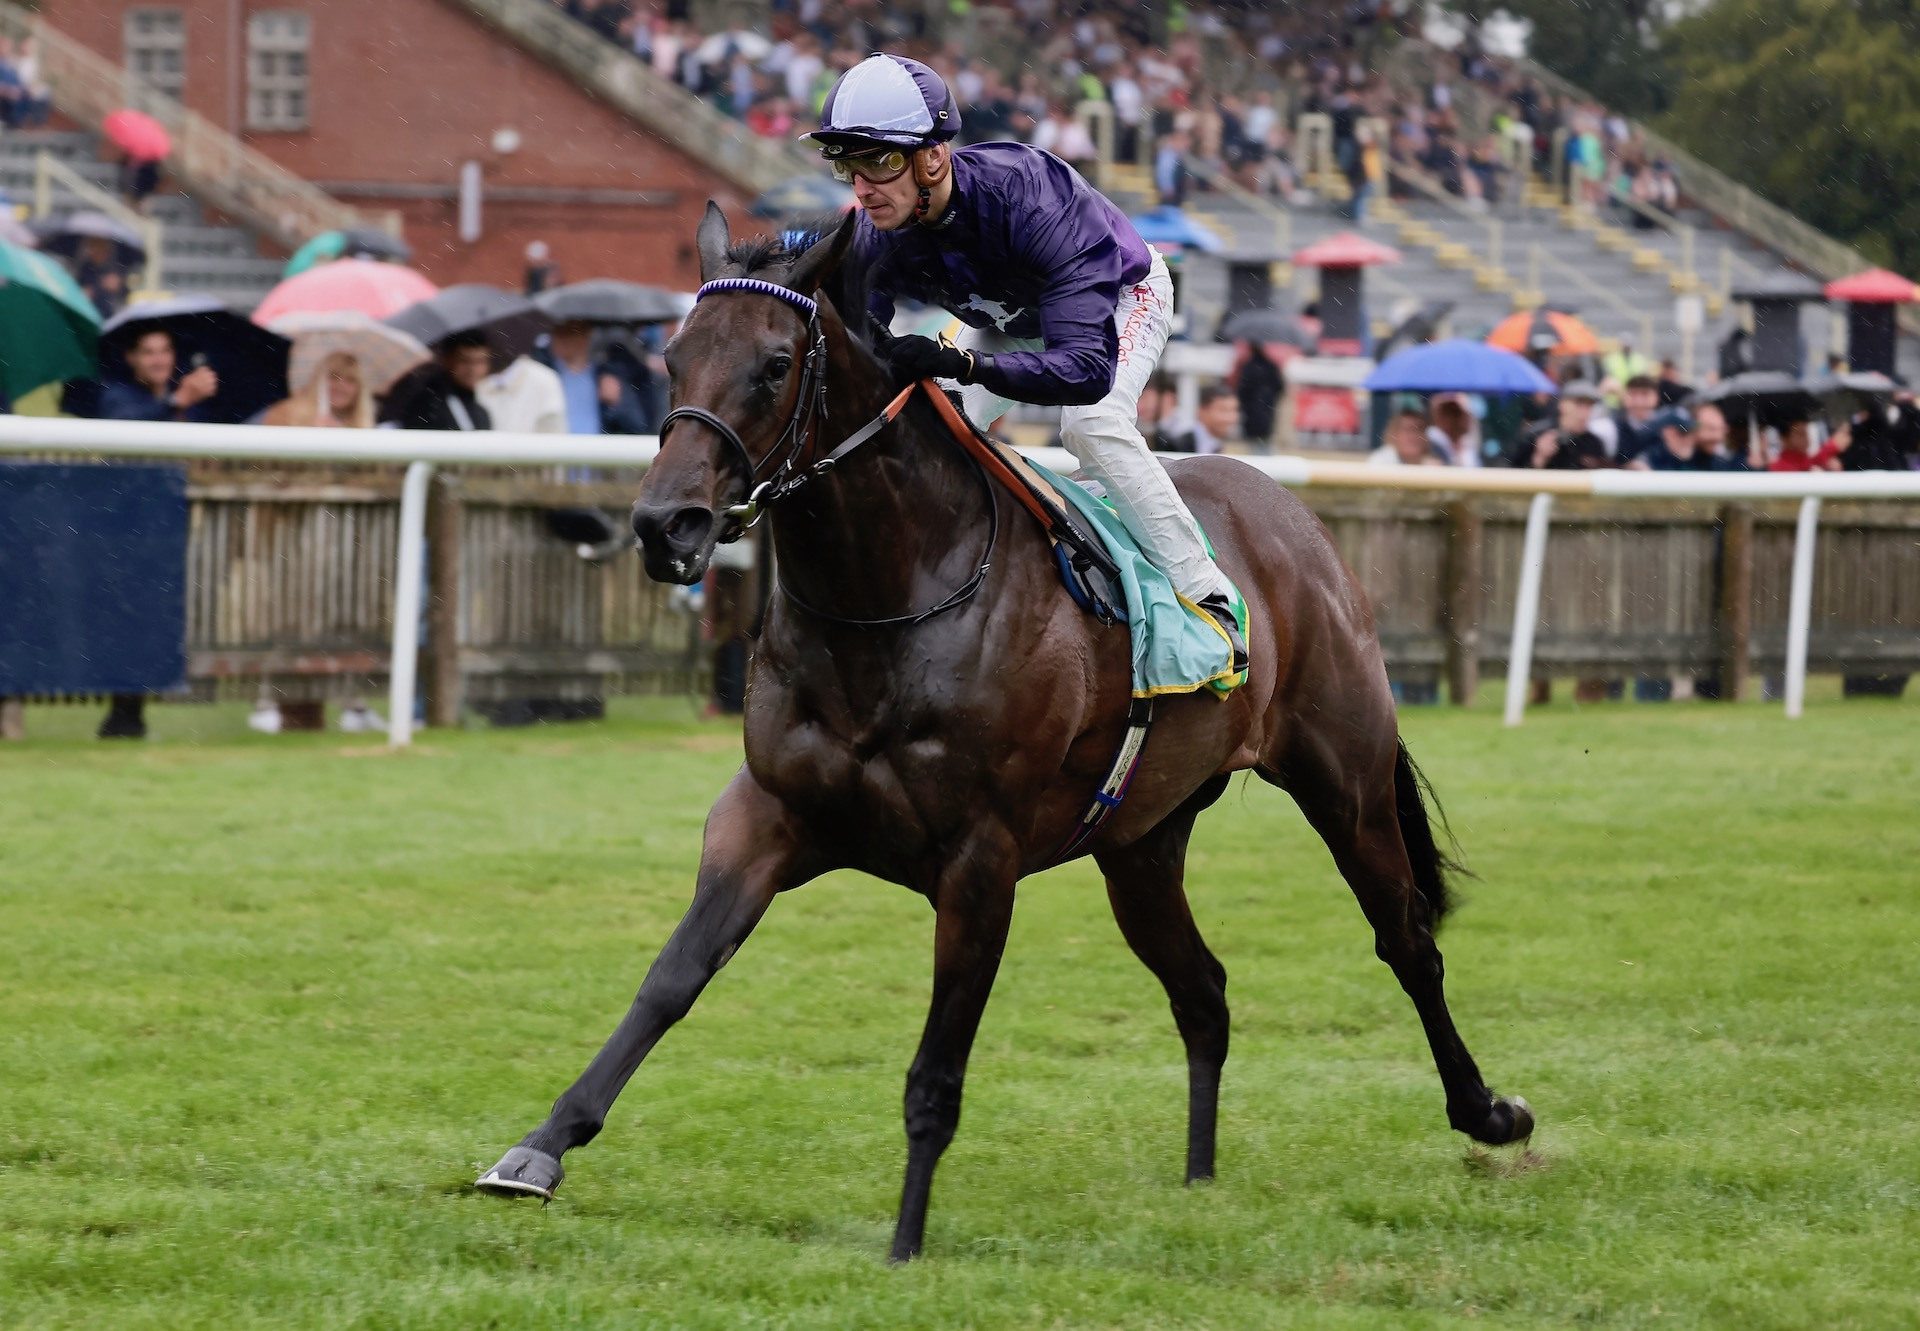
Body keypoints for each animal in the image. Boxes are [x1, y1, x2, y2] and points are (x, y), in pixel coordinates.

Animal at [480, 205, 1528, 1259]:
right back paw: (1199, 1176)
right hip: (1141, 844)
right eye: (671, 357)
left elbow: (936, 1068)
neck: (889, 598)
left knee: (1407, 941)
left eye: (775, 365)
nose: (668, 524)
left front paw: (905, 1239)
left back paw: (1488, 1111)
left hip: (1342, 778)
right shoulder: (766, 816)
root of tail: (1292, 515)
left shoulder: (979, 859)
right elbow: (670, 979)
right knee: (1204, 989)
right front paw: (536, 1149)